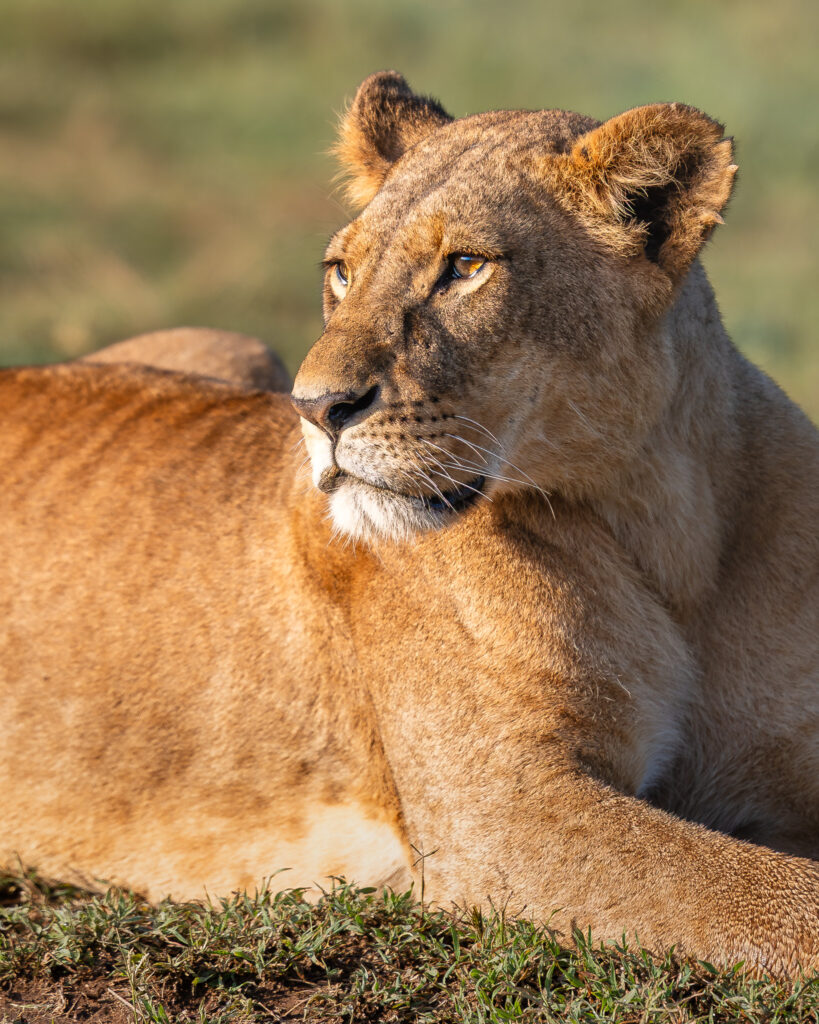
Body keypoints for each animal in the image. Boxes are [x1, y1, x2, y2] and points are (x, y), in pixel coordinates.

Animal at [1, 72, 817, 977]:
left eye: (464, 267)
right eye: (341, 271)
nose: (314, 408)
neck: (664, 520)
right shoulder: (504, 816)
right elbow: (783, 903)